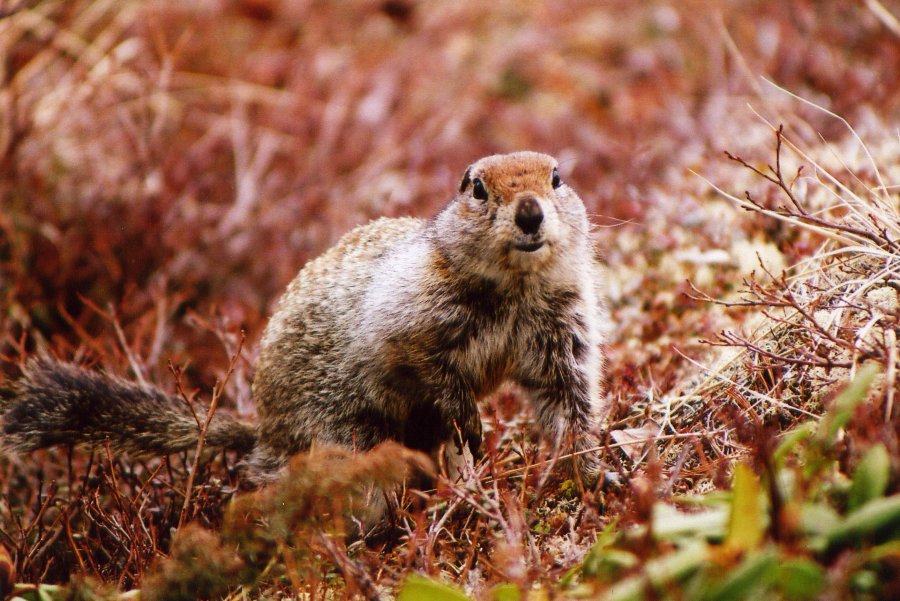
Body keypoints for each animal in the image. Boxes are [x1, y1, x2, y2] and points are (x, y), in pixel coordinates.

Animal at [1, 150, 604, 482]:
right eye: (478, 188)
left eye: (556, 177)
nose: (531, 213)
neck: (513, 288)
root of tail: (265, 432)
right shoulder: (414, 317)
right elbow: (426, 364)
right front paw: (472, 423)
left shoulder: (561, 328)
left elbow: (567, 396)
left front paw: (592, 469)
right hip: (343, 433)